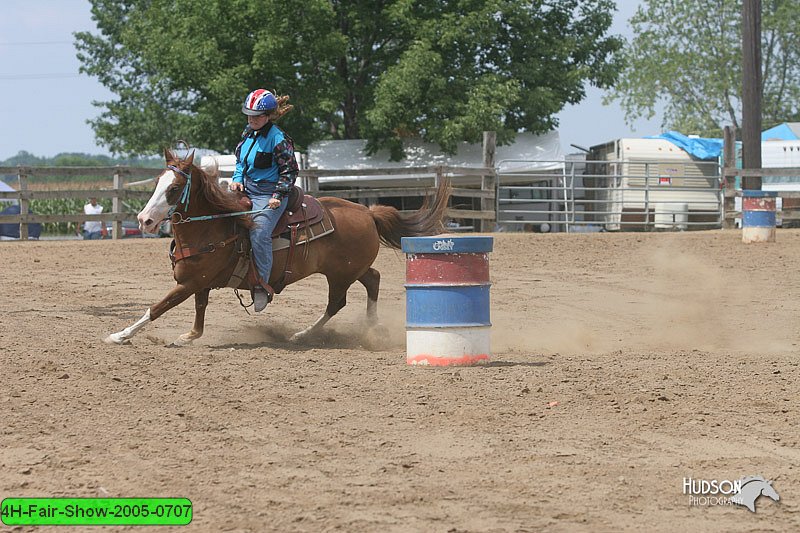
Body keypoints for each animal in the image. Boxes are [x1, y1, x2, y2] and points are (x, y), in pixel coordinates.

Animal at [104, 149, 450, 344]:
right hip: (350, 268)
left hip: (340, 275)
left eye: (174, 188)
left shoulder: (189, 283)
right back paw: (371, 326)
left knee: (337, 303)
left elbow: (157, 307)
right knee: (373, 280)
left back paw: (305, 334)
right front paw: (190, 336)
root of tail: (368, 212)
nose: (145, 220)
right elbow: (199, 310)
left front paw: (119, 335)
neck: (212, 225)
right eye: (157, 183)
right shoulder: (199, 282)